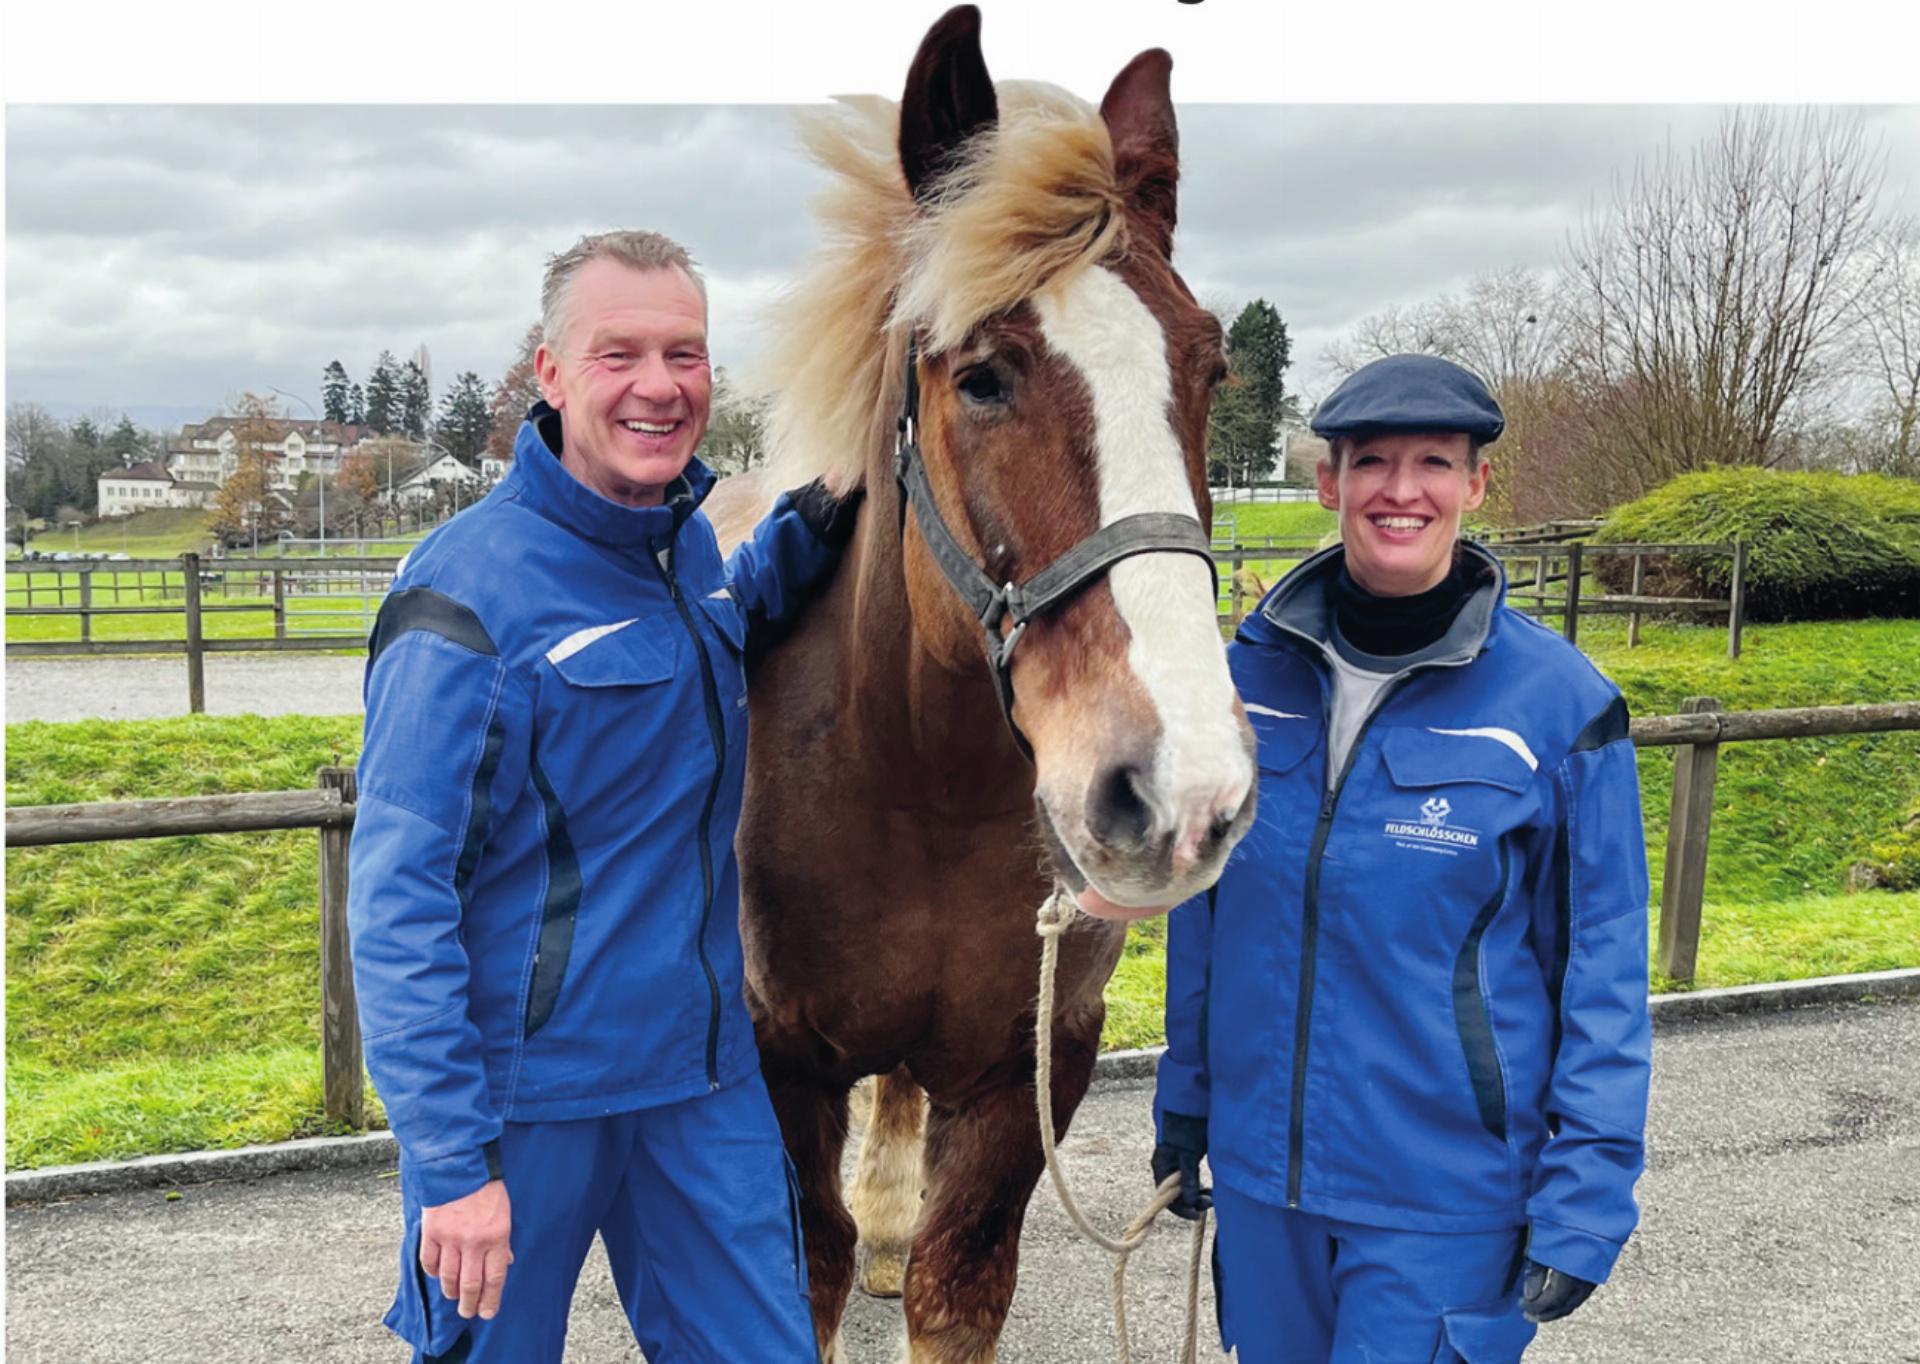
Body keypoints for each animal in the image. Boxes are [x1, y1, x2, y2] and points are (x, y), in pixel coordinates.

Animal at [706, 8, 1259, 1360]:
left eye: (1210, 366)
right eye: (981, 375)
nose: (1176, 790)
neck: (917, 777)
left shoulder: (1029, 1065)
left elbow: (956, 1281)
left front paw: (904, 1244)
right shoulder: (777, 1064)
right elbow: (802, 1273)